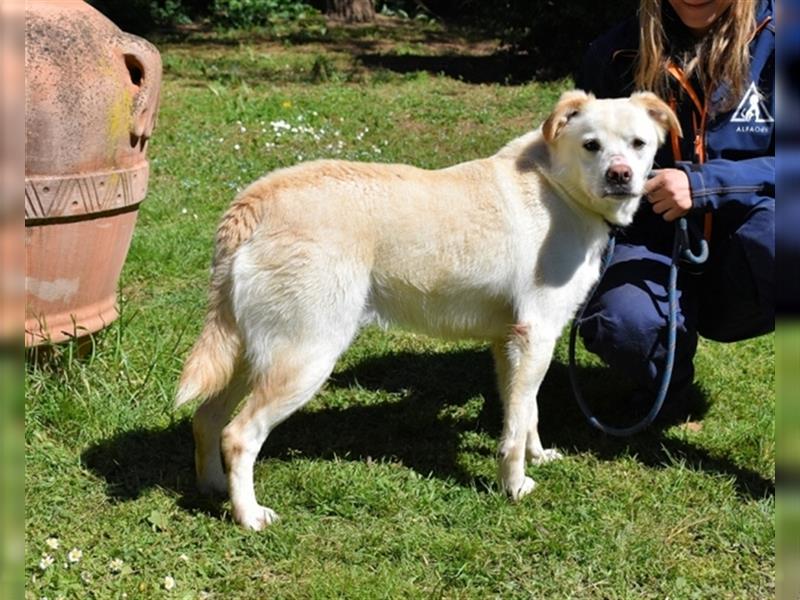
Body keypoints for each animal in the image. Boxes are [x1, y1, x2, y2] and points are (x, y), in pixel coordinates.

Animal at [177, 90, 680, 528]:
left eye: (639, 144)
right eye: (591, 145)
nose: (620, 175)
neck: (557, 187)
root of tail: (254, 201)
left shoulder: (512, 343)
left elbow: (526, 413)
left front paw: (538, 456)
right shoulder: (535, 335)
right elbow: (516, 428)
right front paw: (514, 486)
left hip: (252, 353)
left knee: (206, 419)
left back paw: (213, 490)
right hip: (305, 357)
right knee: (238, 436)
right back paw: (248, 516)